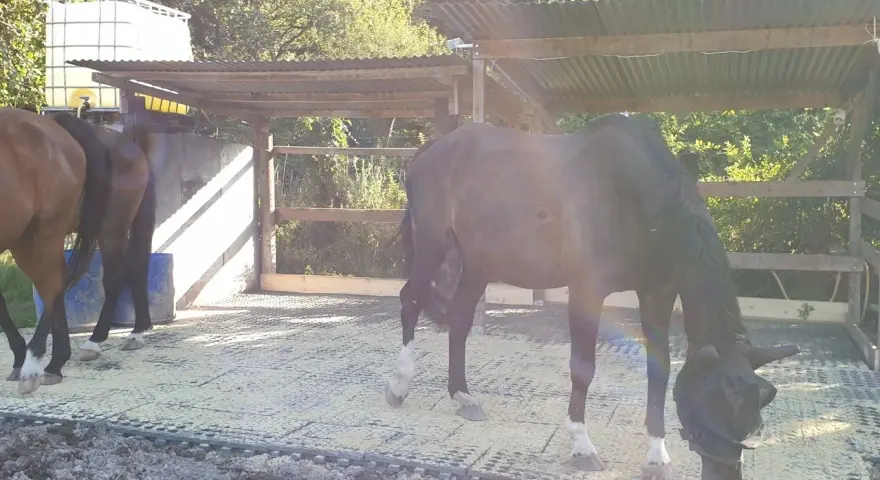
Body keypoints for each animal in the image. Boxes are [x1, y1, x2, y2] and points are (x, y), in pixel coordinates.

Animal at [382, 114, 800, 480]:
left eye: (759, 410)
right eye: (714, 401)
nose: (725, 471)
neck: (636, 196)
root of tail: (431, 150)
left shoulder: (658, 292)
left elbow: (659, 368)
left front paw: (657, 455)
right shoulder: (587, 290)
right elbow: (583, 368)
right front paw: (582, 446)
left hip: (477, 263)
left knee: (459, 319)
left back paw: (463, 396)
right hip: (433, 245)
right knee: (410, 300)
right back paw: (399, 386)